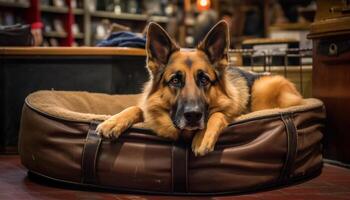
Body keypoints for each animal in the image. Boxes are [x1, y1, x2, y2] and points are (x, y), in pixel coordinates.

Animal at [96, 21, 304, 156]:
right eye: (175, 80)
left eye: (204, 79)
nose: (193, 115)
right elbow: (136, 108)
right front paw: (113, 121)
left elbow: (217, 114)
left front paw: (203, 136)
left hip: (264, 86)